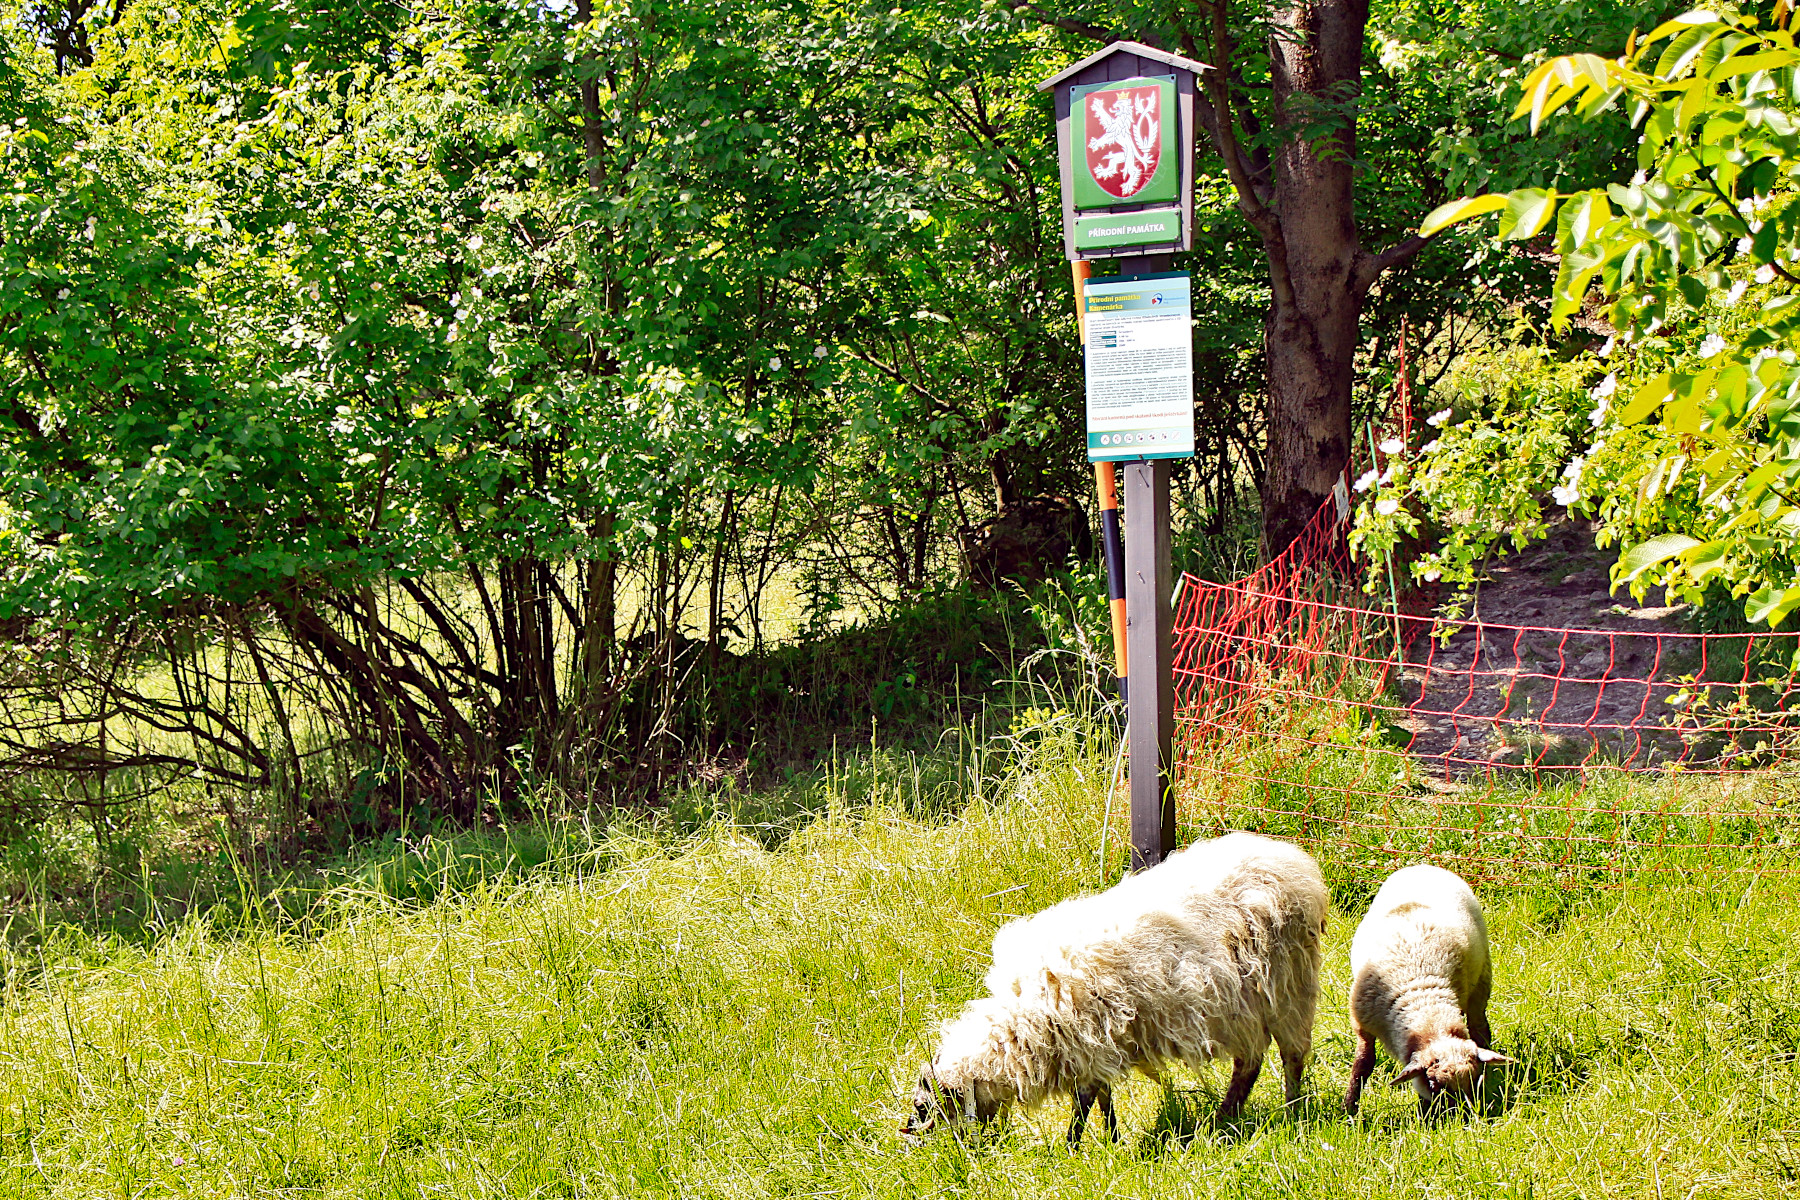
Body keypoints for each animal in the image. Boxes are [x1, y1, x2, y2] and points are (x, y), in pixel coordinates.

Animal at [907, 831, 1332, 1151]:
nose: (911, 1144)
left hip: (1287, 986)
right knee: (1251, 1061)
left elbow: (1085, 1102)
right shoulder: (1093, 1049)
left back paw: (1289, 1113)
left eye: (924, 1108)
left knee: (1291, 1056)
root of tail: (1294, 863)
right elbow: (1103, 1098)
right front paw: (1110, 1141)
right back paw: (1226, 1118)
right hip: (1246, 1005)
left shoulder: (1087, 1042)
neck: (1017, 1028)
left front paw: (1073, 1147)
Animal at [1346, 863, 1512, 1115]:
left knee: (1480, 1029)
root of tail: (1424, 866)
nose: (1463, 1118)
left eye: (1474, 1080)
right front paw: (1348, 1108)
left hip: (1482, 980)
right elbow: (1363, 1064)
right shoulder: (1362, 1024)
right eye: (1434, 1085)